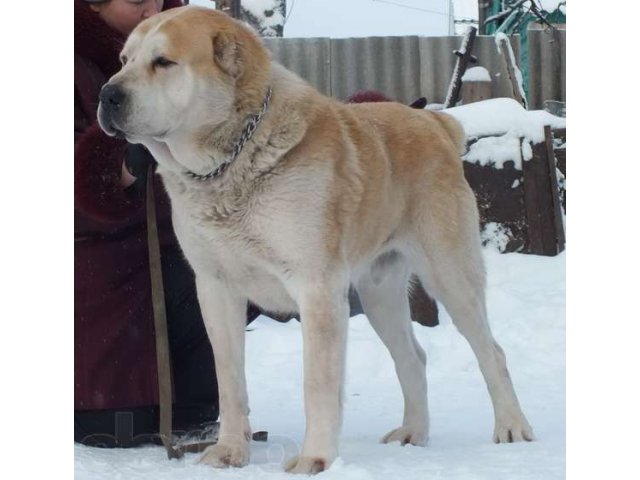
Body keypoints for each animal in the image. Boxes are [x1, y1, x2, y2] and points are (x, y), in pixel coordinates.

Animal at [96, 6, 536, 472]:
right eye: (124, 60)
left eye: (163, 62)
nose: (107, 95)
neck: (233, 160)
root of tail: (432, 120)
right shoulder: (216, 289)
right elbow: (229, 380)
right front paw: (230, 451)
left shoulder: (317, 290)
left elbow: (317, 383)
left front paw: (316, 459)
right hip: (379, 294)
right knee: (412, 357)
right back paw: (413, 433)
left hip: (449, 276)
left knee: (492, 352)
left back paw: (511, 427)